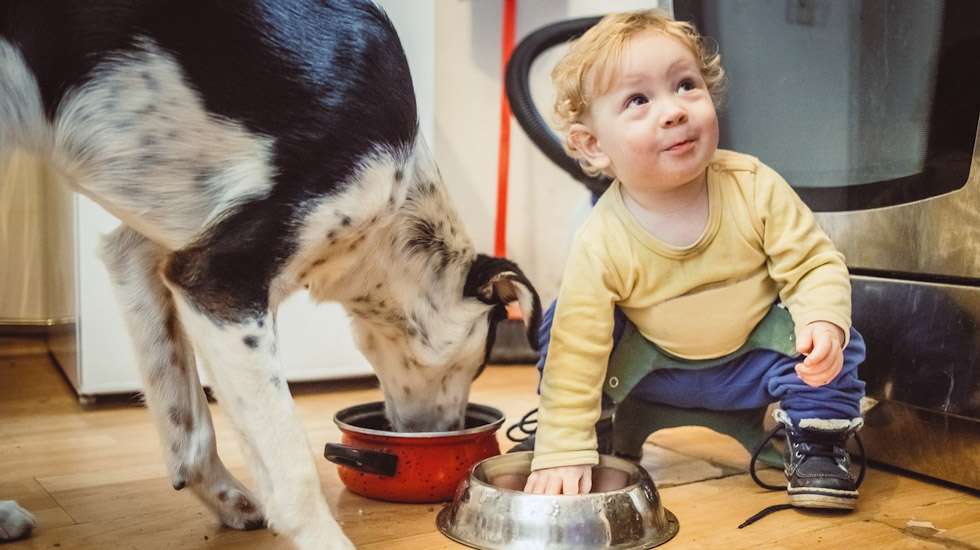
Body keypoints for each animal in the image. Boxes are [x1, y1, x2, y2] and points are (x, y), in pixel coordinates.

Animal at [0, 2, 540, 548]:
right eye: (476, 366)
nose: (453, 428)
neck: (395, 207)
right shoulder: (218, 282)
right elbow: (290, 467)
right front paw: (323, 537)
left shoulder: (145, 257)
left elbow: (188, 428)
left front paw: (225, 499)